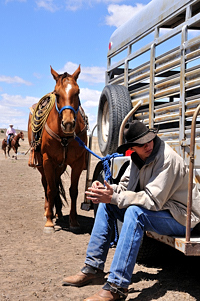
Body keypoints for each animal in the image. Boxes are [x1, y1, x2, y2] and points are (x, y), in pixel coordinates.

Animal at [27, 64, 88, 231]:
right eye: (57, 94)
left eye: (77, 92)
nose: (68, 124)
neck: (64, 137)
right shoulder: (48, 161)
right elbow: (51, 189)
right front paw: (49, 222)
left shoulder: (77, 163)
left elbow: (73, 191)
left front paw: (73, 221)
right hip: (42, 165)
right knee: (46, 184)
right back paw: (48, 211)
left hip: (60, 166)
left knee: (55, 181)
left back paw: (58, 212)